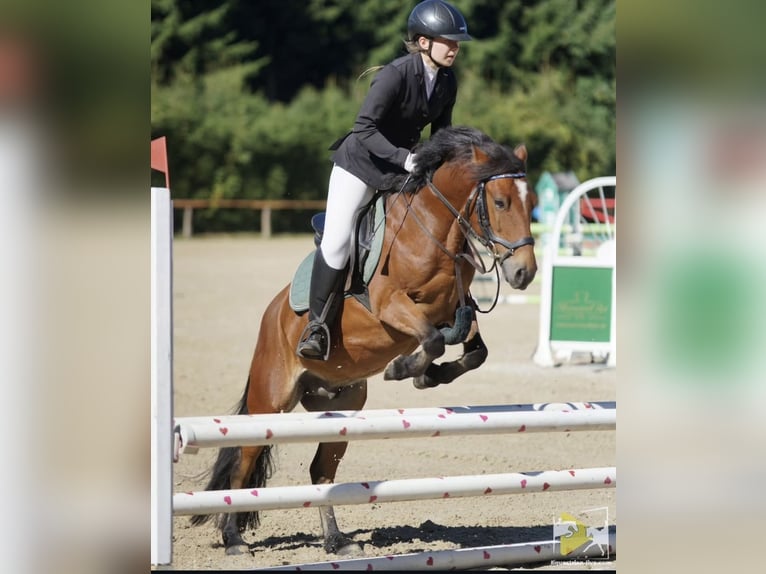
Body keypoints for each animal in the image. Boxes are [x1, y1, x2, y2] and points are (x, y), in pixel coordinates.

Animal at [190, 126, 538, 556]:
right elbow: (432, 339)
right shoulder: (390, 306)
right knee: (243, 460)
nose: (524, 273)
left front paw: (429, 375)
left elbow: (473, 349)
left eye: (532, 203)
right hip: (270, 400)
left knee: (321, 472)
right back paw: (234, 539)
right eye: (501, 202)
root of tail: (271, 315)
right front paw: (404, 368)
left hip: (343, 407)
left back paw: (337, 541)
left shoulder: (457, 306)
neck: (431, 228)